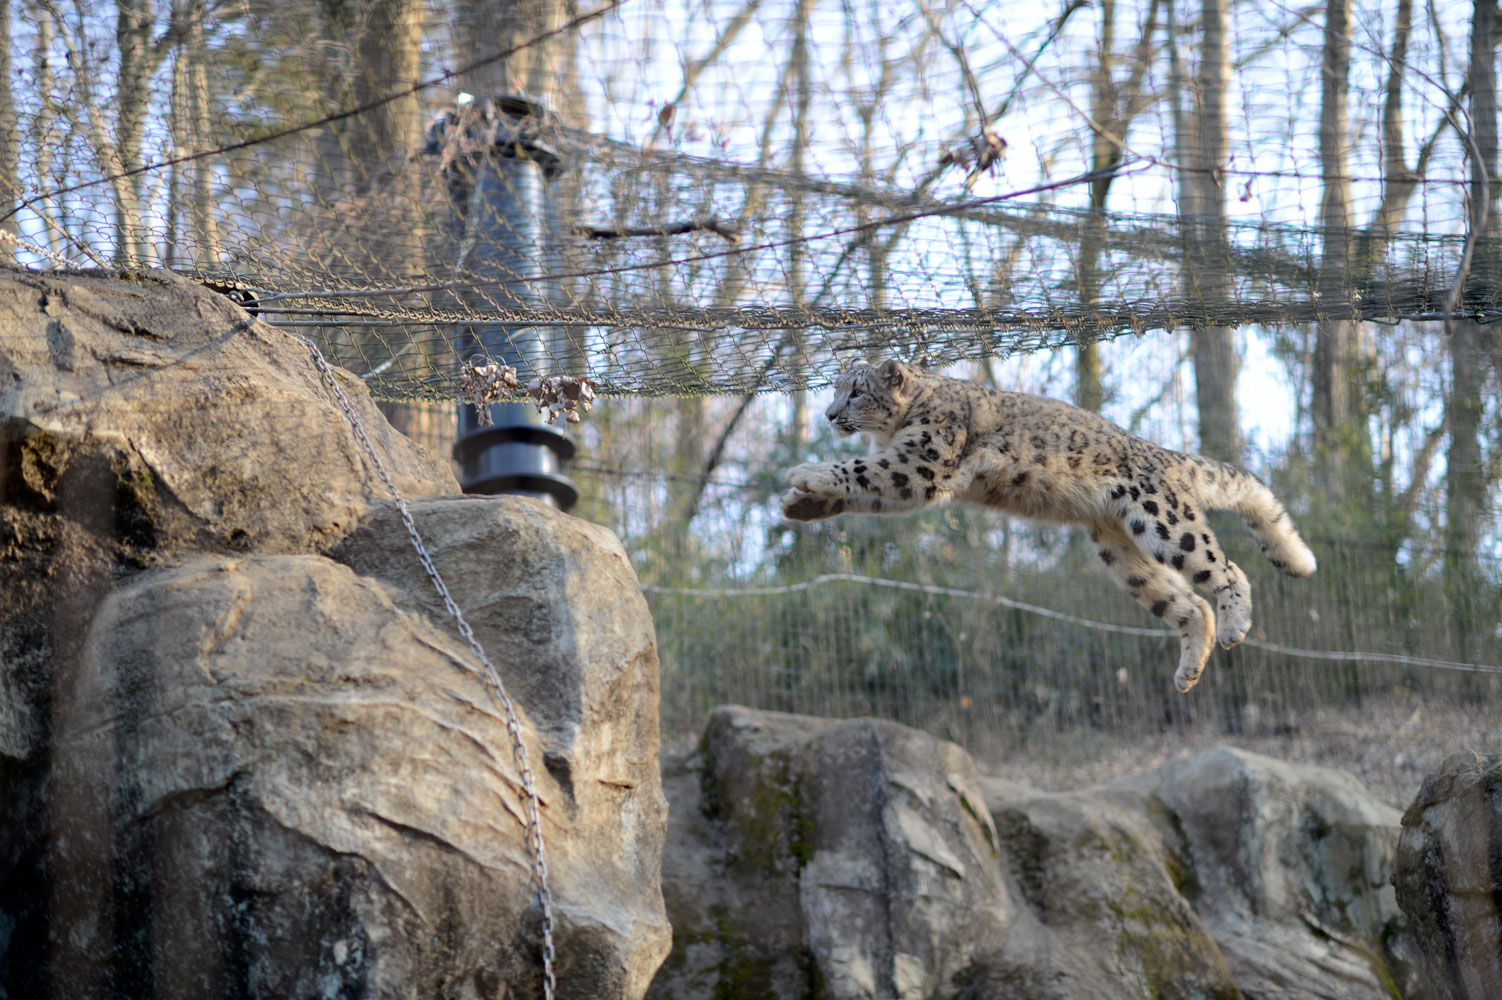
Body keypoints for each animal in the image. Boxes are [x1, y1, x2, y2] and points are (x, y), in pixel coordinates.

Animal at [787, 360, 1315, 693]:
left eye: (856, 391)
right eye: (835, 389)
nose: (829, 414)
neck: (897, 428)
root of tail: (1164, 454)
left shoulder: (922, 463)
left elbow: (859, 470)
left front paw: (807, 473)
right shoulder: (905, 470)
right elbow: (863, 486)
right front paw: (801, 505)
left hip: (1164, 523)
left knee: (1224, 568)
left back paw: (1234, 627)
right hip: (1121, 554)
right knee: (1186, 604)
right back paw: (1188, 672)